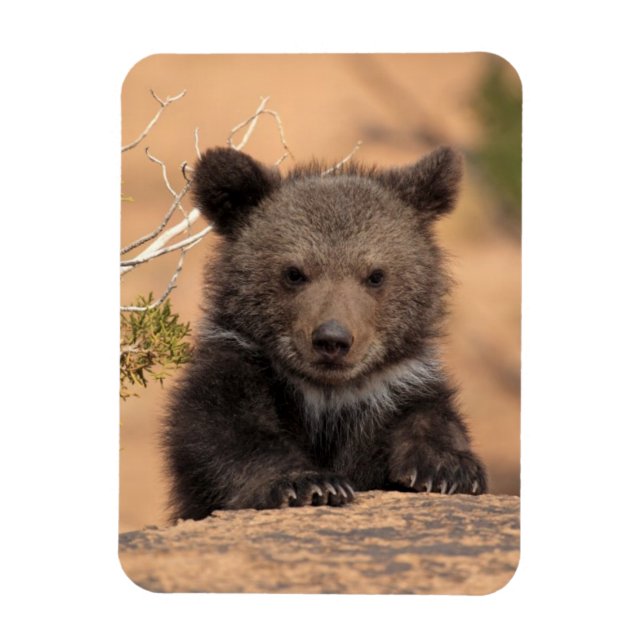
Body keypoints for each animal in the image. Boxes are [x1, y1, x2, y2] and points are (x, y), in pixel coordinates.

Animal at [163, 145, 487, 521]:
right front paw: (309, 482)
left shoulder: (396, 387)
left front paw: (447, 468)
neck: (328, 397)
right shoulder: (241, 369)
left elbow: (430, 417)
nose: (332, 340)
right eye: (294, 272)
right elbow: (225, 432)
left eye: (375, 275)